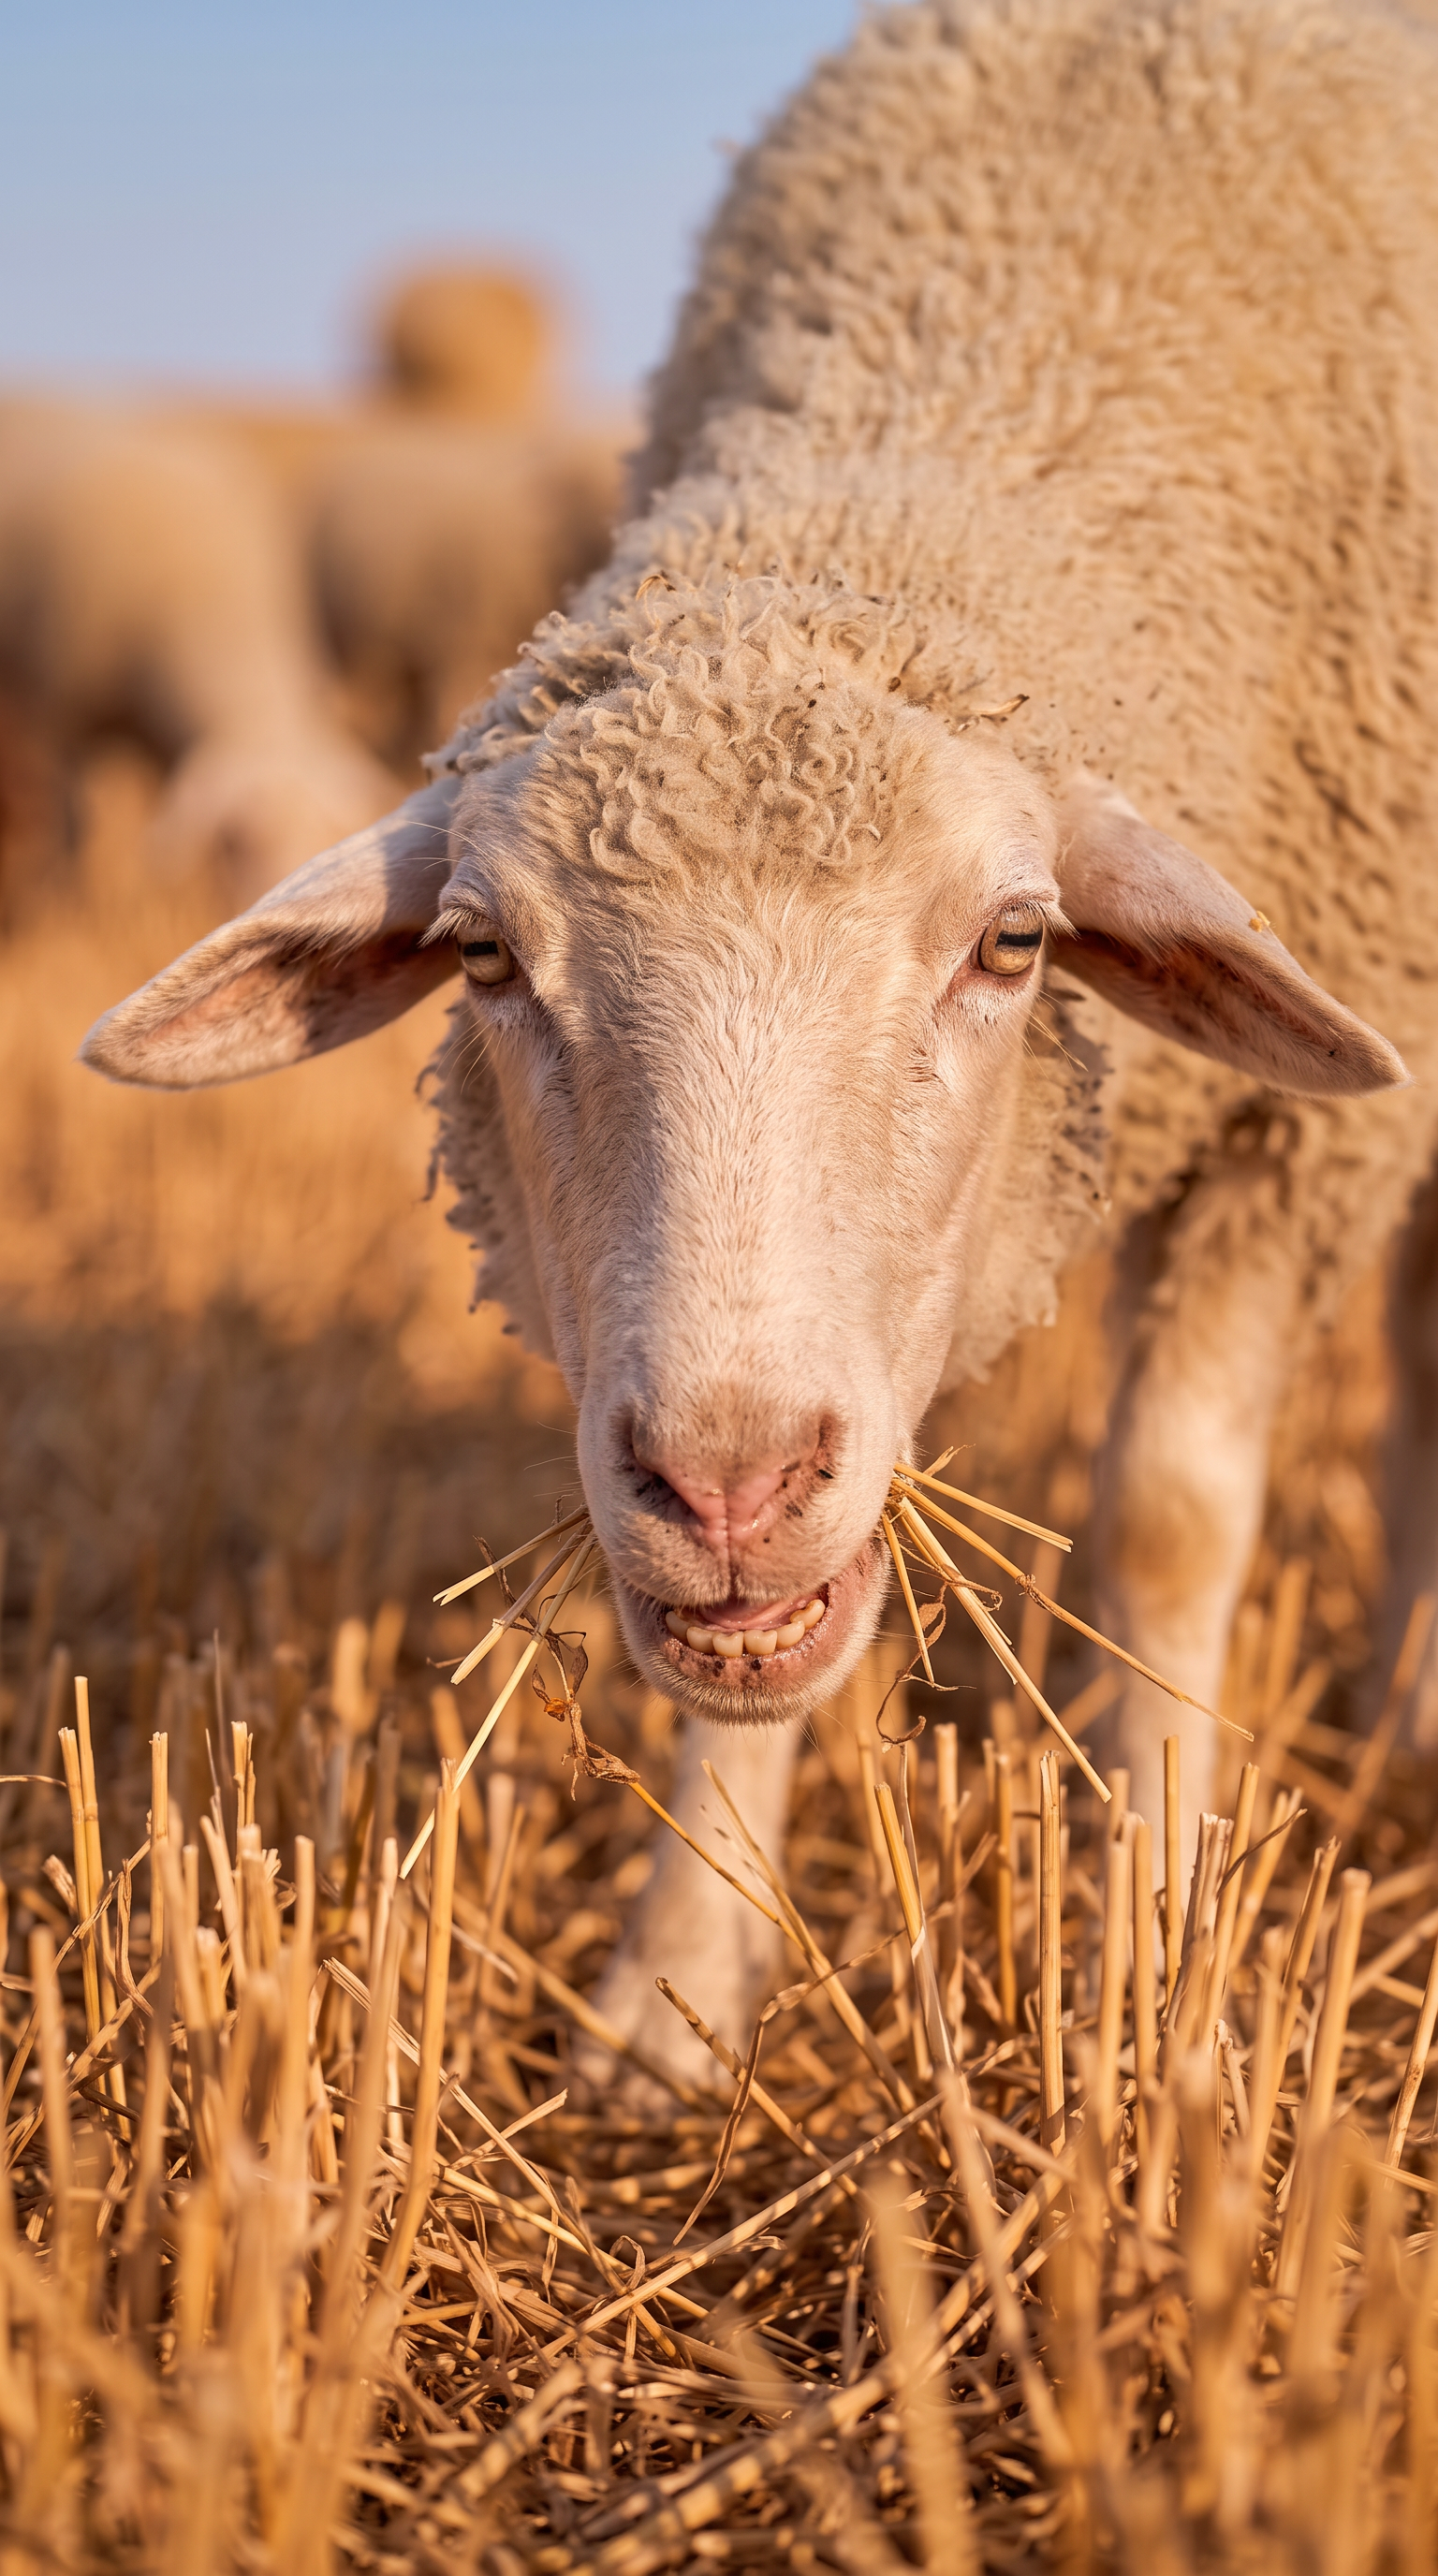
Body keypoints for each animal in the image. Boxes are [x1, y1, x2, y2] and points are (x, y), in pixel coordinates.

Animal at [84, 0, 1438, 2092]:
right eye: (482, 955)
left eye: (1013, 942)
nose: (723, 1479)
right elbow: (752, 1673)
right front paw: (674, 1993)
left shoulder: (1298, 1143)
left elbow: (1171, 1520)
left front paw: (1148, 1959)